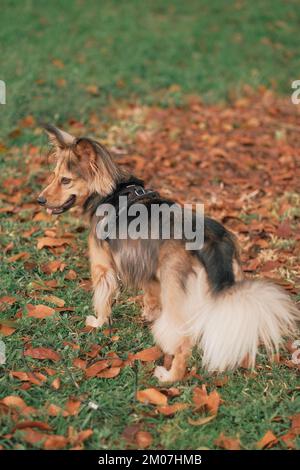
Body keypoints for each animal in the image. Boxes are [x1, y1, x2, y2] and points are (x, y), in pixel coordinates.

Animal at [37, 124, 298, 382]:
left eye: (66, 180)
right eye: (54, 176)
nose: (39, 200)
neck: (111, 193)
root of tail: (211, 239)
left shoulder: (103, 267)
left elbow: (103, 300)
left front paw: (98, 322)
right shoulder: (150, 270)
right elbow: (150, 297)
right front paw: (148, 314)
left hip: (176, 294)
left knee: (182, 341)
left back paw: (170, 377)